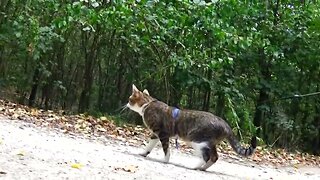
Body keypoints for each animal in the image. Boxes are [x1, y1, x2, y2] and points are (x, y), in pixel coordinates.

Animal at [126, 84, 256, 170]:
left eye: (129, 99)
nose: (126, 104)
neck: (148, 104)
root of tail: (225, 124)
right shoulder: (155, 134)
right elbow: (149, 146)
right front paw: (143, 153)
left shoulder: (162, 133)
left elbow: (166, 149)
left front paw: (165, 160)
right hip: (210, 143)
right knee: (215, 157)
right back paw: (203, 168)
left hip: (198, 140)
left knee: (207, 157)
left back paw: (195, 167)